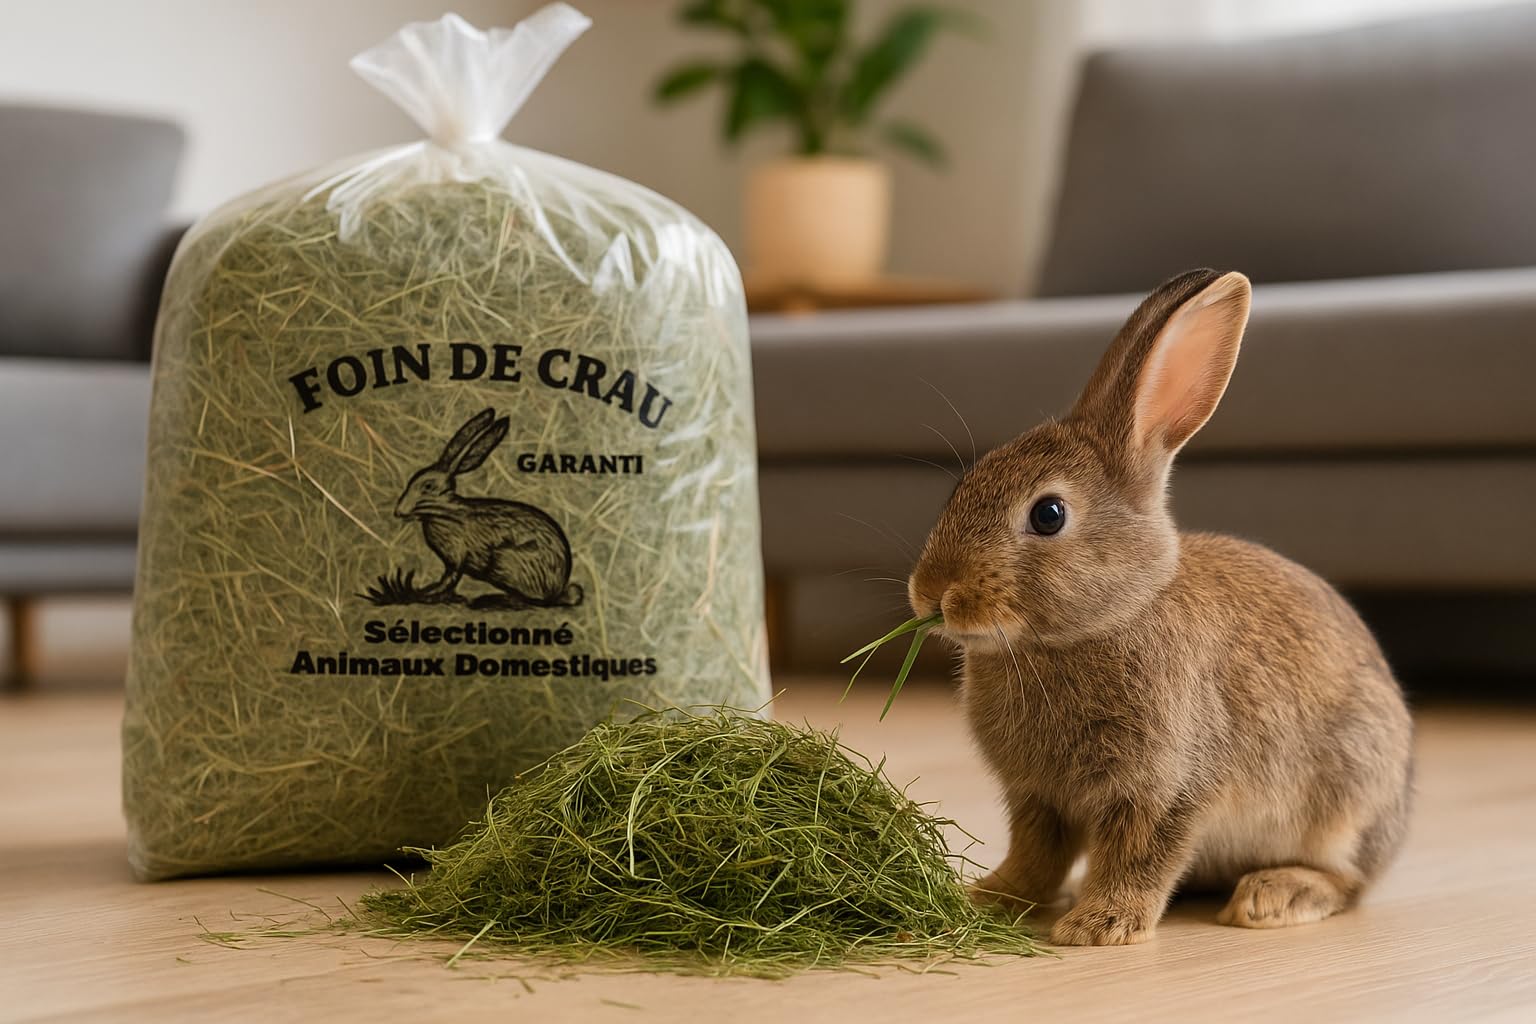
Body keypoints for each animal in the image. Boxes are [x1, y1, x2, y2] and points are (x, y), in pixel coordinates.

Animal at [395, 407, 583, 609]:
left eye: (427, 486)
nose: (398, 511)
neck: (445, 512)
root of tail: (559, 589)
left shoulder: (456, 558)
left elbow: (449, 579)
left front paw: (424, 593)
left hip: (506, 562)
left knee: (527, 600)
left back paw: (489, 599)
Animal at [907, 269, 1413, 946]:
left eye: (1048, 514)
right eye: (959, 489)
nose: (931, 593)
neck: (1108, 618)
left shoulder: (1166, 786)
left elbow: (1142, 857)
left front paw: (1097, 926)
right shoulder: (1038, 798)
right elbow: (1036, 857)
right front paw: (988, 899)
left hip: (1348, 796)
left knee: (1347, 881)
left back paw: (1272, 897)